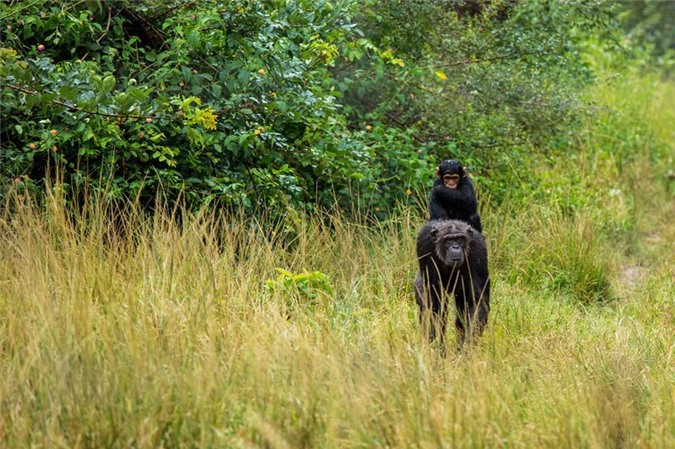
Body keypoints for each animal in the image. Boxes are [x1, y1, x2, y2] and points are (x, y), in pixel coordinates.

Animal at [412, 219, 492, 352]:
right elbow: (433, 300)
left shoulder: (478, 249)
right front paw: (436, 345)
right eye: (448, 239)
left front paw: (466, 346)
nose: (455, 247)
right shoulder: (424, 243)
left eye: (459, 239)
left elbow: (477, 301)